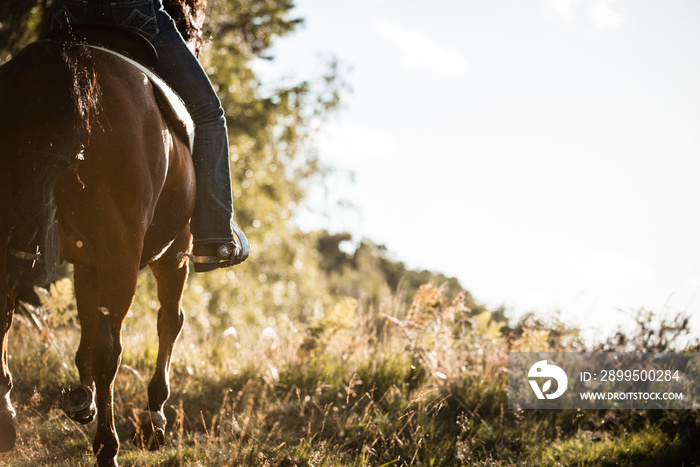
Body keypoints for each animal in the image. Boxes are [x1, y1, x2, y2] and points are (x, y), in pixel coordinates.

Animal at [0, 31, 197, 466]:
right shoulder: (171, 252)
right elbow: (167, 322)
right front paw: (154, 417)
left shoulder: (87, 262)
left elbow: (87, 324)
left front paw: (82, 397)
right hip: (128, 255)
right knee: (115, 349)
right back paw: (109, 445)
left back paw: (6, 417)